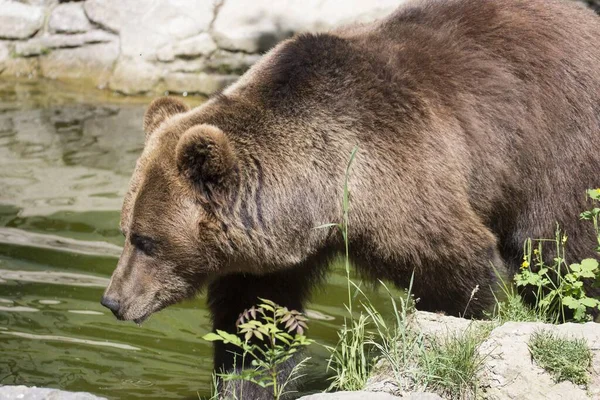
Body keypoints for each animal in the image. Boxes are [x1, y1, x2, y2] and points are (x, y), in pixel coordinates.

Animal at [101, 0, 600, 396]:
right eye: (126, 231)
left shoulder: (402, 178)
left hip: (556, 143)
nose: (113, 301)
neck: (320, 198)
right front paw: (246, 379)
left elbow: (462, 273)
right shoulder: (271, 255)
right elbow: (254, 326)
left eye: (145, 240)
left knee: (562, 248)